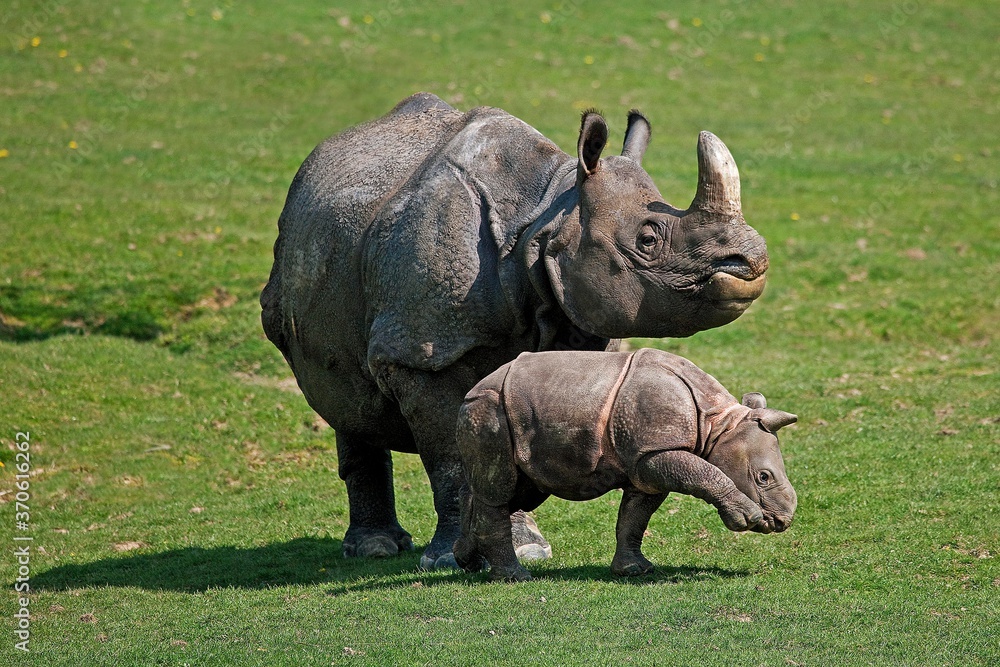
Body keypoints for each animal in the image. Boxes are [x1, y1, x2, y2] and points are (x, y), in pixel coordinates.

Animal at [261, 92, 768, 569]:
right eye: (647, 239)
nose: (752, 262)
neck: (545, 219)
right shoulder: (421, 351)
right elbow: (449, 454)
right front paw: (451, 558)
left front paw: (526, 549)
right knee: (343, 397)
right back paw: (375, 549)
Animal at [454, 348, 798, 581]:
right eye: (763, 477)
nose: (782, 520)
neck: (717, 423)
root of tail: (471, 390)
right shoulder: (655, 451)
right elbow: (706, 472)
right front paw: (746, 518)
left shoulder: (644, 463)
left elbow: (635, 516)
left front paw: (634, 570)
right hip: (490, 409)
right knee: (499, 491)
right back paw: (515, 576)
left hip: (514, 416)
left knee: (513, 491)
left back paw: (467, 561)